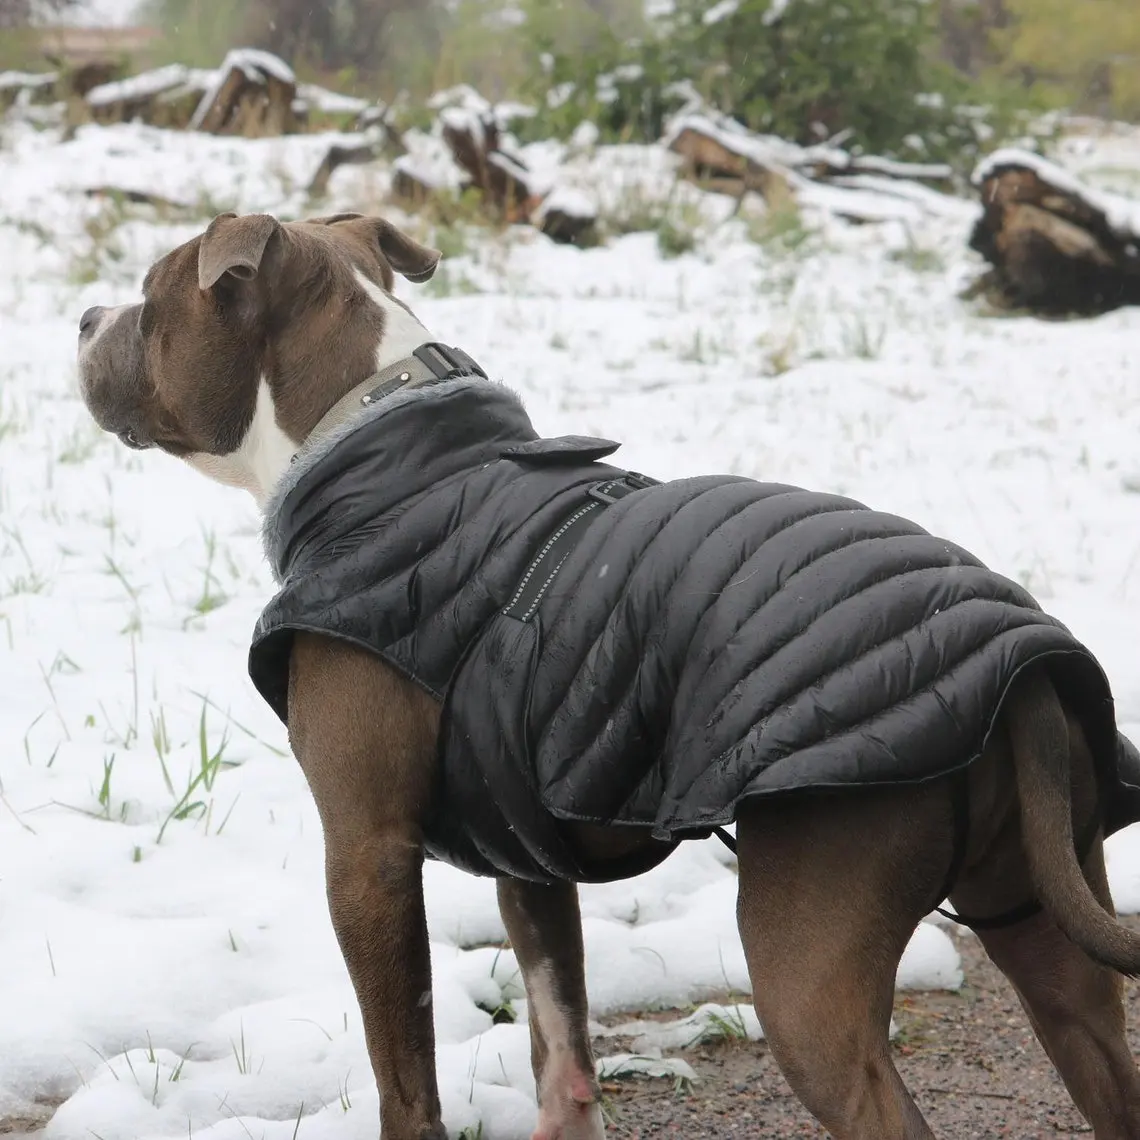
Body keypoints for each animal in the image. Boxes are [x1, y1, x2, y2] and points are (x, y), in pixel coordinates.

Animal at [75, 207, 1140, 1140]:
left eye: (150, 297)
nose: (84, 316)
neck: (376, 448)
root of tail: (1026, 674)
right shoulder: (525, 859)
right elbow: (561, 1044)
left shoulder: (367, 855)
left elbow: (405, 1075)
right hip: (1051, 935)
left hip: (810, 965)